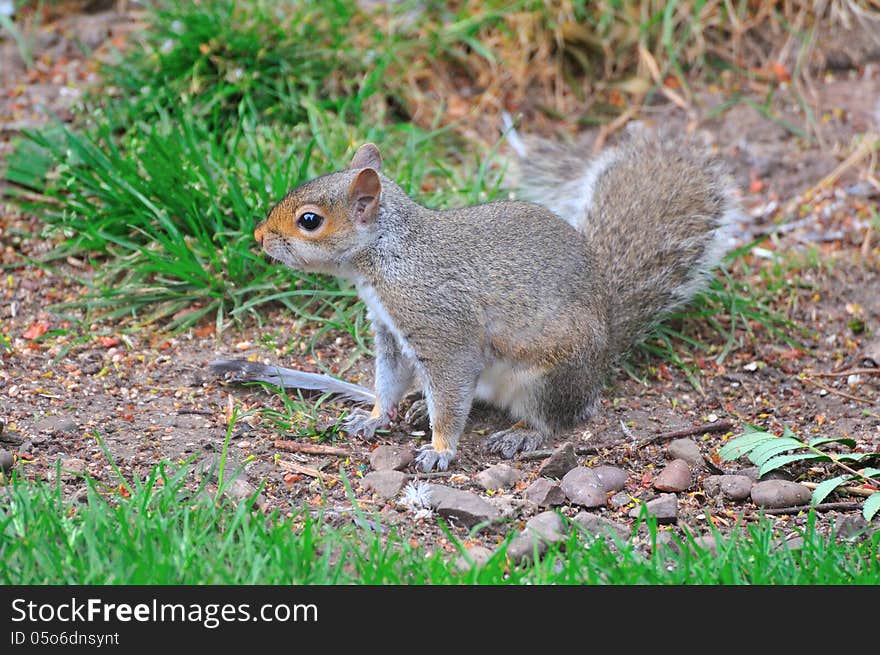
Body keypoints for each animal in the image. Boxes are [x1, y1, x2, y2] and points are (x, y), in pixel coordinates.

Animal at [210, 128, 740, 468]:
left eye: (310, 220)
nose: (258, 237)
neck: (389, 257)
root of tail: (605, 344)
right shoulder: (391, 333)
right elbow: (388, 381)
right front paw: (376, 417)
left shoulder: (443, 330)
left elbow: (449, 390)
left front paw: (441, 449)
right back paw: (418, 406)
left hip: (551, 374)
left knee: (558, 416)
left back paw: (521, 435)